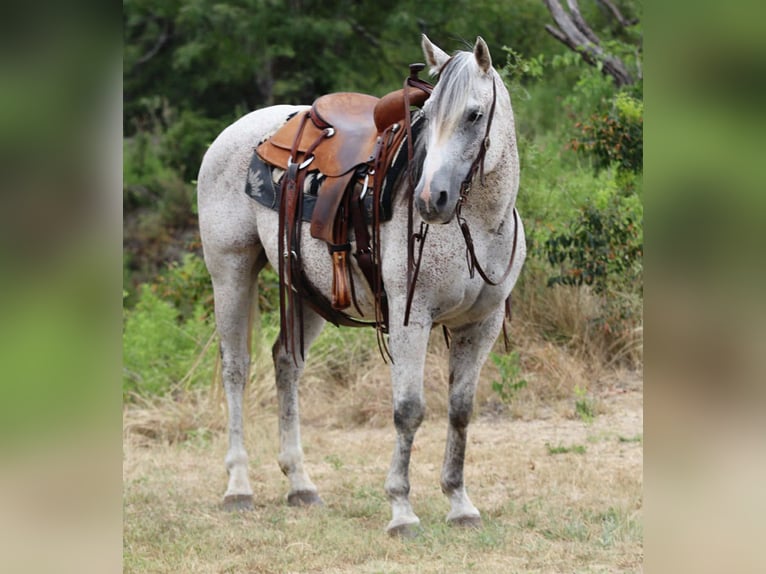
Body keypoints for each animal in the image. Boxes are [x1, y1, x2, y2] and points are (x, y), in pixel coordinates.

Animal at [197, 35, 526, 536]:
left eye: (474, 115)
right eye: (428, 114)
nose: (431, 200)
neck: (479, 224)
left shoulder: (481, 325)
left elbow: (461, 411)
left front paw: (459, 503)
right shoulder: (411, 319)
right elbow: (409, 410)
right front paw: (401, 509)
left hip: (309, 291)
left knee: (286, 362)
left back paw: (300, 484)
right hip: (230, 269)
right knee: (236, 367)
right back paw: (238, 486)